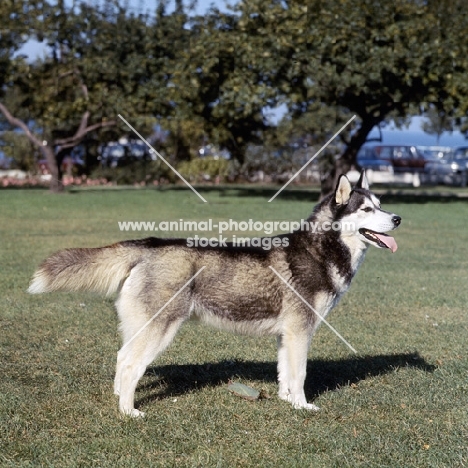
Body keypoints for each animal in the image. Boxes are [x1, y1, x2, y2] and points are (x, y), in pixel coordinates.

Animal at [28, 172, 398, 416]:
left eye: (381, 204)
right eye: (366, 210)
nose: (397, 218)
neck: (322, 250)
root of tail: (148, 245)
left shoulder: (286, 335)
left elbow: (284, 373)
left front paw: (285, 400)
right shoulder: (300, 332)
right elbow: (301, 374)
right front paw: (303, 406)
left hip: (138, 326)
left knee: (121, 358)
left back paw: (119, 399)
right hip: (160, 329)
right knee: (132, 364)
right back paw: (128, 412)